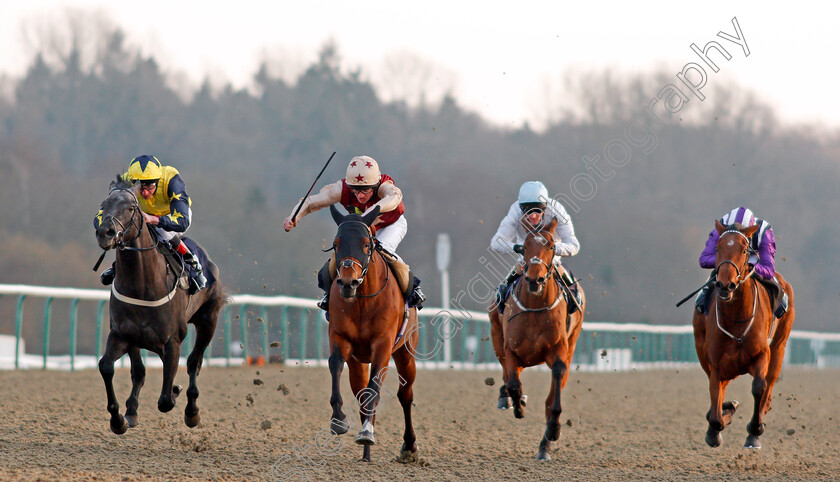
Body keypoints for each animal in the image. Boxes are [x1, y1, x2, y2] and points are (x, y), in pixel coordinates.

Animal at [94, 176, 225, 434]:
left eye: (131, 208)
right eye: (103, 205)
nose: (105, 232)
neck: (142, 285)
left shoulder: (172, 341)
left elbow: (165, 399)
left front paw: (176, 392)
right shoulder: (123, 334)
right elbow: (108, 367)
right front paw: (119, 418)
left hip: (208, 320)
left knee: (194, 362)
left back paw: (191, 410)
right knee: (142, 371)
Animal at [324, 204, 418, 464]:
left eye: (367, 244)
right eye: (336, 244)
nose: (348, 282)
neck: (362, 300)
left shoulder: (383, 345)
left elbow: (375, 385)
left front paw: (366, 432)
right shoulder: (340, 337)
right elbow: (335, 365)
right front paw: (338, 420)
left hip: (406, 353)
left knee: (405, 394)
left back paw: (408, 446)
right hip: (357, 362)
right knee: (361, 395)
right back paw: (366, 454)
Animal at [486, 217, 584, 460]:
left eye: (551, 246)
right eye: (524, 247)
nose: (534, 279)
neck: (535, 307)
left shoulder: (559, 352)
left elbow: (553, 397)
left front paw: (553, 430)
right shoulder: (511, 350)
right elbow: (513, 383)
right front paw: (517, 404)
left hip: (572, 343)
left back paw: (544, 446)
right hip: (496, 335)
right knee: (506, 375)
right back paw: (507, 399)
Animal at [692, 221, 796, 448]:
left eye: (743, 249)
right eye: (717, 248)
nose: (725, 284)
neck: (737, 318)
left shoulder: (762, 354)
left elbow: (759, 387)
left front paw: (754, 430)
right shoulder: (716, 362)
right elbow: (715, 397)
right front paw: (716, 427)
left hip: (779, 347)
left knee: (768, 388)